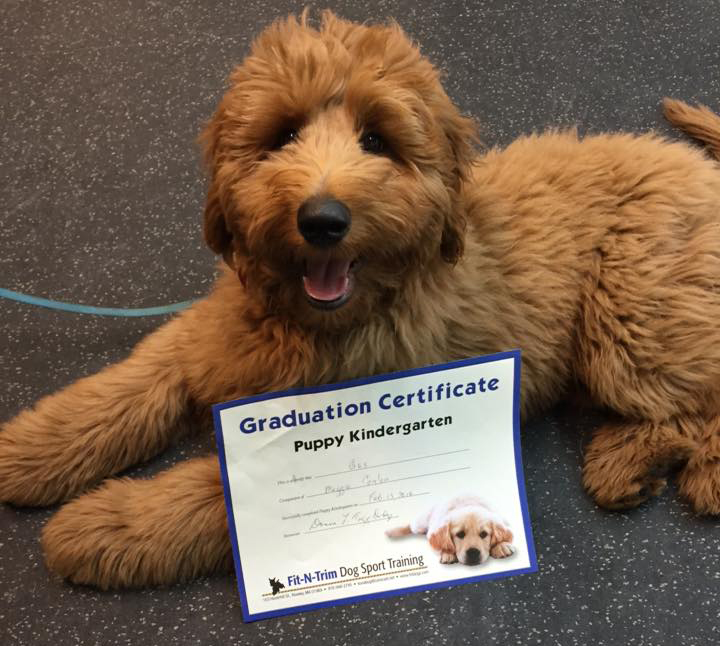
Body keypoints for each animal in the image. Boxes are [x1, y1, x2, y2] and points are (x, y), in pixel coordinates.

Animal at [386, 496, 516, 568]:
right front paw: (448, 554)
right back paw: (392, 531)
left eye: (484, 534)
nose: (473, 553)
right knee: (411, 526)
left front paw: (501, 546)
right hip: (421, 523)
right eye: (460, 534)